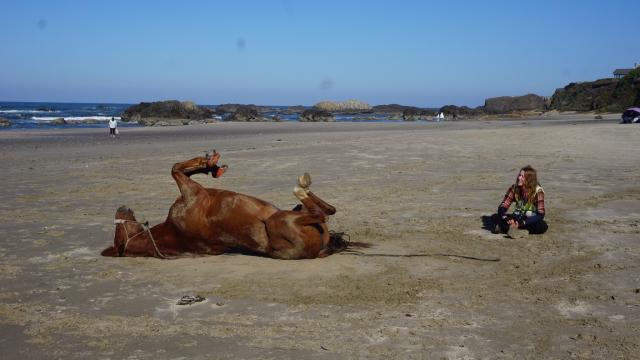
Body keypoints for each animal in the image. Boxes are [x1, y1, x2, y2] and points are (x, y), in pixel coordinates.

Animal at [99, 150, 338, 260]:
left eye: (117, 231)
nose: (121, 208)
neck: (173, 232)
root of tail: (317, 251)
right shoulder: (192, 191)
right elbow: (175, 168)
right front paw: (207, 163)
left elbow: (180, 168)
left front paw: (211, 166)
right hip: (277, 220)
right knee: (323, 213)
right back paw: (301, 186)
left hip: (291, 214)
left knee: (327, 210)